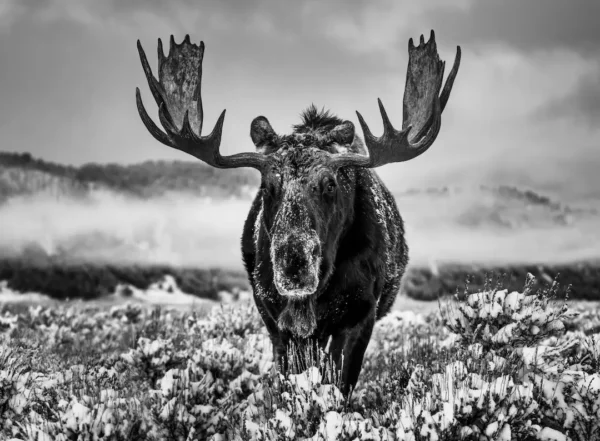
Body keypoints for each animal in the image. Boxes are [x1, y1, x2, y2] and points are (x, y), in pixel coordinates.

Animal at [136, 31, 462, 396]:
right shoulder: (274, 317)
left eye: (330, 183)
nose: (293, 262)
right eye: (267, 185)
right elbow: (292, 377)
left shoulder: (361, 313)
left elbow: (340, 381)